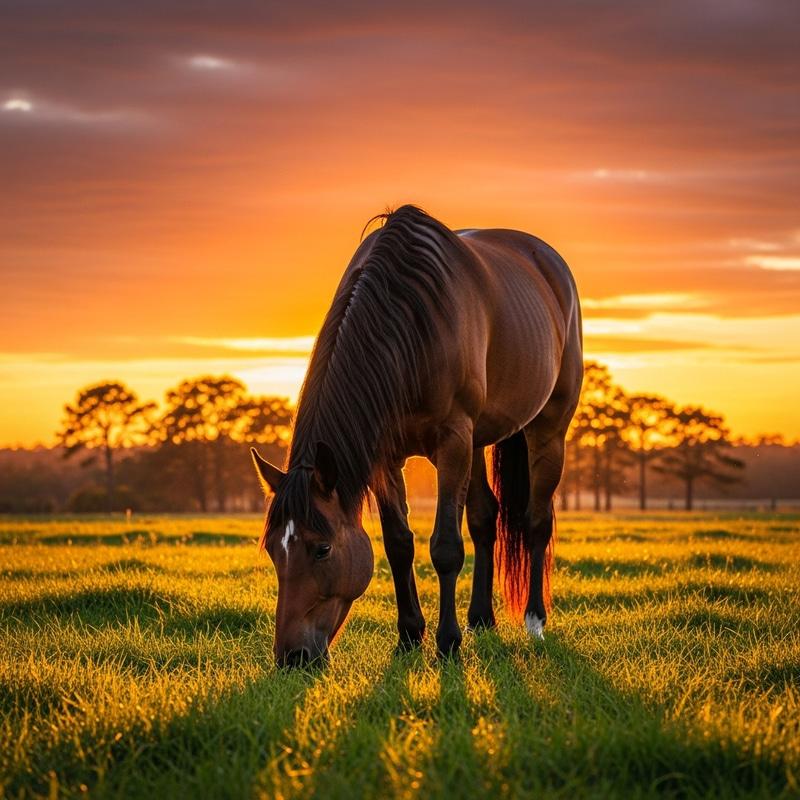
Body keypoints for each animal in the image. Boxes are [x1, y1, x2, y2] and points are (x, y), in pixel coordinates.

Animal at [252, 205, 582, 667]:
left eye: (322, 549)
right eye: (272, 549)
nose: (292, 657)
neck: (409, 324)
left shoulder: (453, 441)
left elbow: (445, 547)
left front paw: (447, 642)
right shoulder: (385, 457)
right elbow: (398, 544)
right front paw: (409, 635)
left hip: (546, 429)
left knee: (536, 520)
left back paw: (534, 621)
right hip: (478, 440)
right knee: (485, 518)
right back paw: (481, 618)